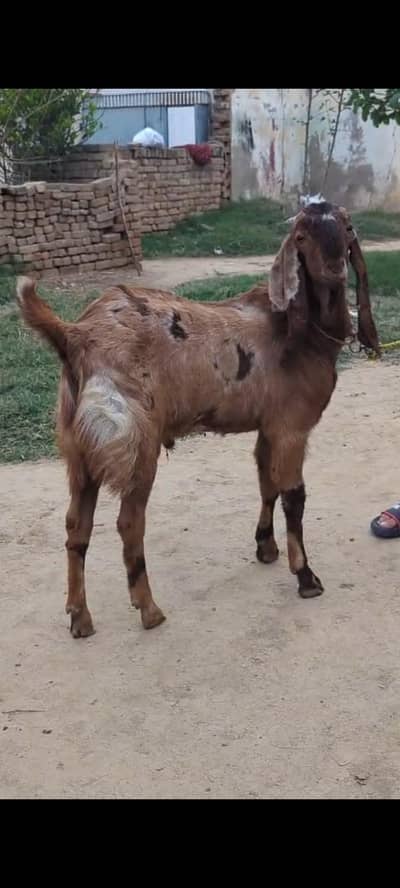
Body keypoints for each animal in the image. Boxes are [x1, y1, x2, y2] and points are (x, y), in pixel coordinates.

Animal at [17, 199, 380, 638]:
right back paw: (148, 609)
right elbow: (293, 496)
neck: (300, 331)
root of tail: (75, 335)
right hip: (134, 441)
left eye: (348, 228)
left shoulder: (268, 426)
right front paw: (306, 577)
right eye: (301, 236)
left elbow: (266, 483)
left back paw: (79, 616)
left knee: (76, 526)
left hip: (78, 448)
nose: (333, 268)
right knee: (128, 522)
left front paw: (265, 547)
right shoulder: (291, 428)